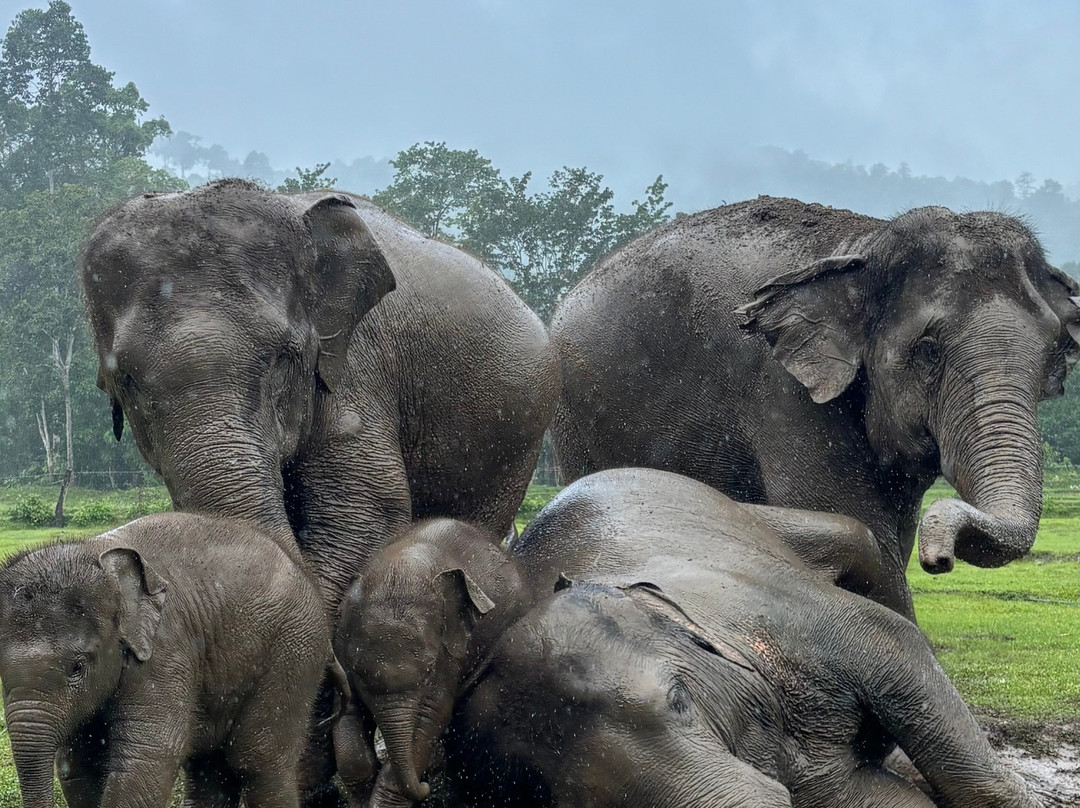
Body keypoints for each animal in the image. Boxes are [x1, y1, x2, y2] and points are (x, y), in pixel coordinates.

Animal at [0, 512, 343, 808]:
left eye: (77, 667)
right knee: (209, 768)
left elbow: (148, 757)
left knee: (260, 758)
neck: (94, 554)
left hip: (295, 650)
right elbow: (79, 766)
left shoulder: (167, 649)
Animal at [444, 468, 1041, 808]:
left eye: (679, 701)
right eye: (559, 796)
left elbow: (892, 648)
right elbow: (874, 799)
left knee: (864, 549)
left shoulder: (771, 611)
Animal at [550, 196, 1080, 618]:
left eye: (1054, 350)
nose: (939, 559)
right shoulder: (783, 393)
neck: (866, 246)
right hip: (576, 420)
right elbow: (857, 530)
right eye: (929, 350)